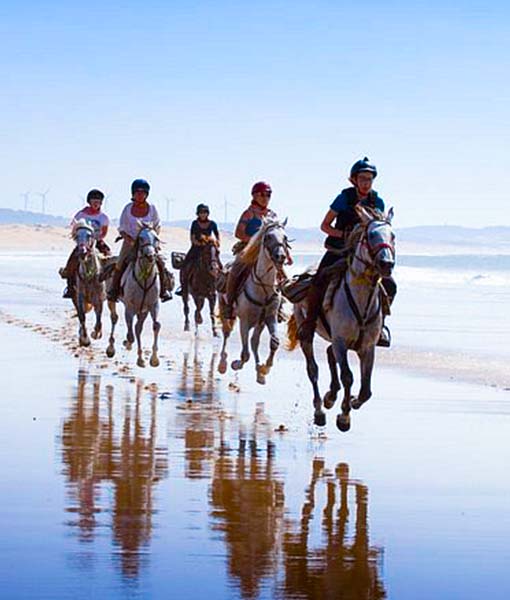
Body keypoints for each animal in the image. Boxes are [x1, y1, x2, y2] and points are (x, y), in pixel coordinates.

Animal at [106, 224, 162, 368]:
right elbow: (130, 333)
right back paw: (111, 349)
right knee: (114, 318)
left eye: (156, 238)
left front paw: (154, 359)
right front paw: (127, 343)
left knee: (138, 328)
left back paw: (140, 358)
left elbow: (156, 325)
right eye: (140, 238)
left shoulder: (153, 305)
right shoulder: (130, 307)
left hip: (143, 310)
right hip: (111, 300)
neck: (145, 278)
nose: (150, 255)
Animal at [216, 219, 290, 384]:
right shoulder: (244, 321)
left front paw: (265, 368)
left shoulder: (269, 317)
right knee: (226, 332)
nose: (280, 256)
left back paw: (259, 372)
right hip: (224, 307)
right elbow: (245, 354)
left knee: (254, 342)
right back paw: (223, 364)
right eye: (268, 237)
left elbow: (274, 342)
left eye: (285, 237)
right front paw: (236, 364)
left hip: (259, 323)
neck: (262, 288)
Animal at [286, 207, 394, 432]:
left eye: (393, 236)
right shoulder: (341, 341)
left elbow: (366, 389)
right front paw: (344, 416)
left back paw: (331, 396)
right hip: (307, 331)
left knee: (329, 354)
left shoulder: (367, 346)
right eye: (371, 235)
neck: (361, 300)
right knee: (313, 369)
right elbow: (348, 377)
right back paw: (320, 409)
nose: (387, 264)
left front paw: (352, 402)